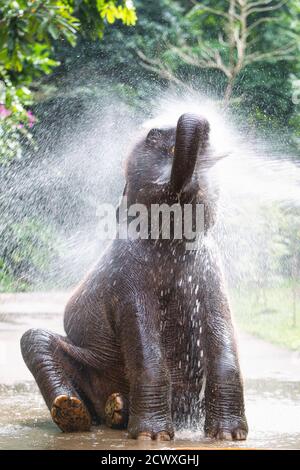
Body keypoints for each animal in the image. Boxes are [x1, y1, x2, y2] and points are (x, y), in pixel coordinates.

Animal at [19, 113, 247, 440]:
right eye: (152, 136)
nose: (204, 122)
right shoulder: (126, 277)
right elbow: (142, 337)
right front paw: (152, 437)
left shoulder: (210, 270)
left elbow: (221, 329)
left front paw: (228, 436)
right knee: (34, 339)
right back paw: (76, 413)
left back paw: (118, 409)